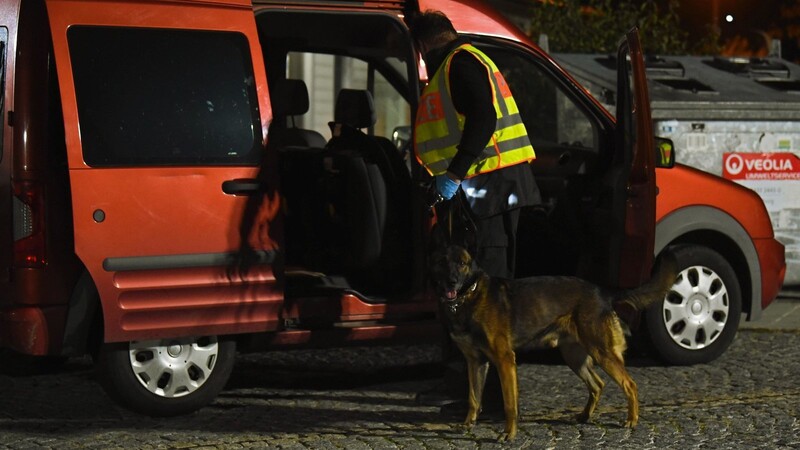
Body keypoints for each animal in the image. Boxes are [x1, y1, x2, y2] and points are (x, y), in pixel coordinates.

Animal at [428, 234, 680, 442]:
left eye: (462, 263)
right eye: (441, 262)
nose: (451, 282)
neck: (468, 297)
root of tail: (603, 291)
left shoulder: (504, 360)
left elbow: (510, 404)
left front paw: (509, 434)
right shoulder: (475, 362)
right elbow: (473, 398)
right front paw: (468, 424)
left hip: (602, 352)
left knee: (630, 384)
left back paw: (631, 420)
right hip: (574, 357)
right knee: (598, 384)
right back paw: (585, 416)